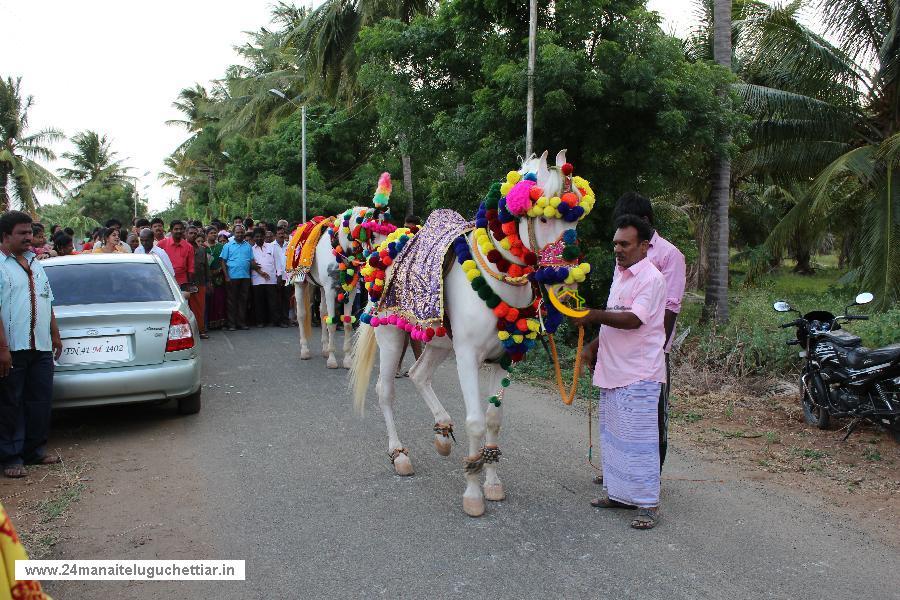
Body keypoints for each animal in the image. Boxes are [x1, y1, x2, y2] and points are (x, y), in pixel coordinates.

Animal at [286, 173, 396, 368]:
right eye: (373, 233)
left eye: (388, 232)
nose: (385, 259)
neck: (341, 249)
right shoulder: (331, 290)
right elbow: (332, 322)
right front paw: (332, 360)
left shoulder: (349, 291)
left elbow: (345, 323)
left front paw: (346, 359)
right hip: (300, 283)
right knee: (302, 314)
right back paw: (305, 350)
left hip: (320, 287)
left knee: (322, 312)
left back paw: (323, 349)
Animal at [348, 151, 596, 516]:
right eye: (543, 217)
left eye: (576, 221)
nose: (567, 285)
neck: (497, 277)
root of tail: (384, 247)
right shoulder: (467, 357)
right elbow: (476, 421)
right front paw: (473, 492)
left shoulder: (502, 359)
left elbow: (493, 419)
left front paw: (491, 482)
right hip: (392, 335)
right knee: (385, 390)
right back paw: (400, 455)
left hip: (437, 342)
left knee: (419, 374)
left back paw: (441, 433)